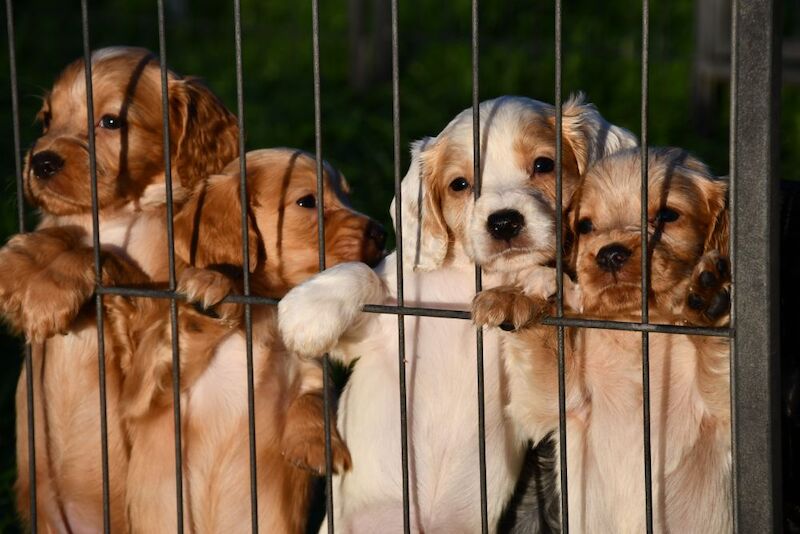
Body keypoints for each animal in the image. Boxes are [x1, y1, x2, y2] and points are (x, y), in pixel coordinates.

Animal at [0, 47, 238, 534]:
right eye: (46, 118)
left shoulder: (147, 329)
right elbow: (63, 235)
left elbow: (108, 259)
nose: (41, 161)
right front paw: (26, 268)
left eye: (110, 121)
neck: (113, 217)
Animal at [114, 148, 386, 534]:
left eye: (348, 196)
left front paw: (317, 444)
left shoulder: (307, 366)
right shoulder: (145, 394)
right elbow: (177, 335)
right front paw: (209, 288)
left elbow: (314, 398)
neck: (262, 313)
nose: (382, 233)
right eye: (307, 201)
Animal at [278, 94, 636, 532]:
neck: (474, 280)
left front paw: (539, 283)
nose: (503, 222)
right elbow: (364, 273)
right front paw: (310, 311)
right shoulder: (383, 326)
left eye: (544, 165)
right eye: (460, 185)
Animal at [476, 148, 732, 534]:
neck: (636, 331)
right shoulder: (565, 404)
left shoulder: (722, 415)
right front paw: (521, 295)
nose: (610, 253)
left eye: (668, 215)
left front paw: (711, 298)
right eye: (584, 226)